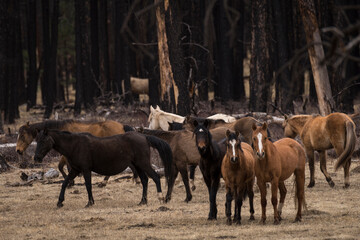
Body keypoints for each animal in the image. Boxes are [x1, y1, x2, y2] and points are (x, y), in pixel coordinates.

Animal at [34, 129, 173, 208]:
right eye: (37, 140)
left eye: (43, 141)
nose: (36, 158)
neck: (75, 145)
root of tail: (144, 137)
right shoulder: (75, 170)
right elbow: (64, 183)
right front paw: (60, 202)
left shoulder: (85, 169)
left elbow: (88, 185)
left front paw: (90, 203)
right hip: (138, 165)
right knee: (145, 180)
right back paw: (143, 201)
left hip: (143, 163)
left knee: (155, 177)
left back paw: (161, 198)